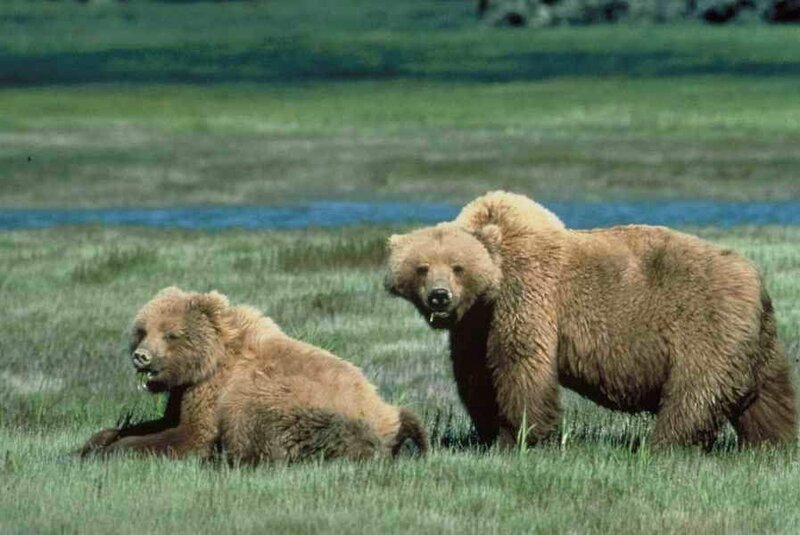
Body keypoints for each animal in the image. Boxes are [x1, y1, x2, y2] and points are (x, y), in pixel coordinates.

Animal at [80, 287, 428, 463]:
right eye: (142, 330)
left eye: (171, 334)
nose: (141, 356)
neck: (210, 361)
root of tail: (388, 415)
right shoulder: (185, 391)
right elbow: (163, 421)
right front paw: (96, 441)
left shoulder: (214, 391)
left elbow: (191, 436)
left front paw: (113, 450)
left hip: (300, 406)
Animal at [385, 191, 797, 450]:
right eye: (422, 267)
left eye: (458, 266)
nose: (440, 296)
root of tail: (755, 278)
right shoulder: (474, 323)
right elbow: (476, 376)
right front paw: (489, 432)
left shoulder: (528, 296)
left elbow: (521, 365)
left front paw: (523, 437)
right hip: (756, 338)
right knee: (768, 395)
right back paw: (773, 443)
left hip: (705, 324)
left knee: (695, 392)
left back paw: (662, 445)